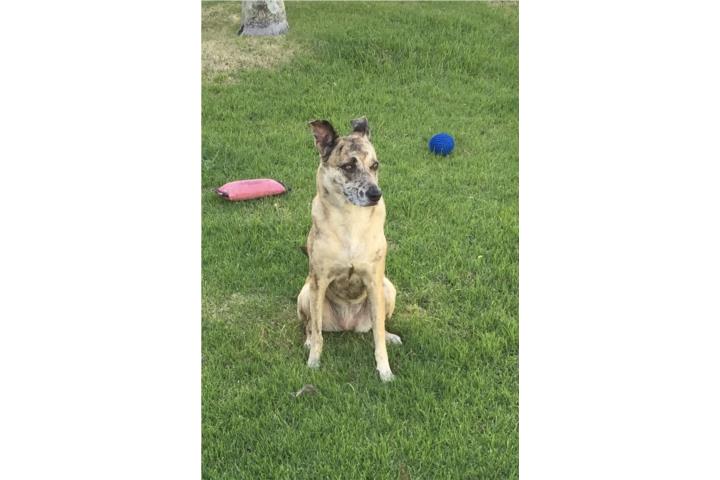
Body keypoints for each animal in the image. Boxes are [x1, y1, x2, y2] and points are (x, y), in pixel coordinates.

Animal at [296, 117, 402, 382]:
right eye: (348, 166)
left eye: (375, 165)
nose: (376, 194)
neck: (350, 219)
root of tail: (348, 324)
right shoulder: (319, 281)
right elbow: (318, 335)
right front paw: (313, 363)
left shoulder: (374, 281)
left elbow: (378, 338)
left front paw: (385, 372)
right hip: (305, 294)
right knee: (311, 325)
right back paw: (308, 340)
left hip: (388, 289)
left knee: (378, 326)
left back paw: (390, 336)